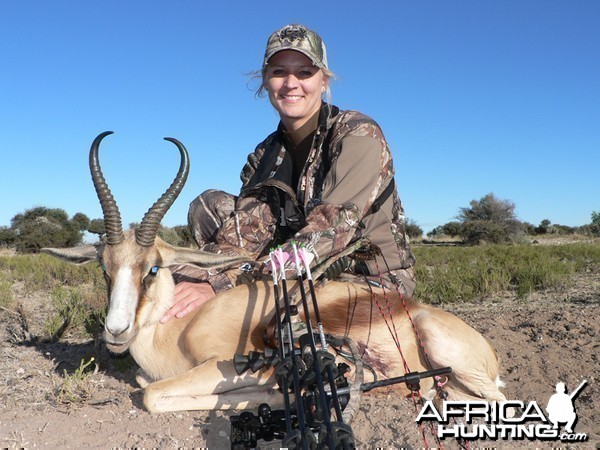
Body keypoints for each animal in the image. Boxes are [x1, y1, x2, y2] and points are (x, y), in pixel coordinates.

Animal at [44, 132, 508, 416]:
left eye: (152, 269)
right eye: (105, 269)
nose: (116, 331)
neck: (178, 328)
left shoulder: (225, 365)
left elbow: (151, 394)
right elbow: (147, 385)